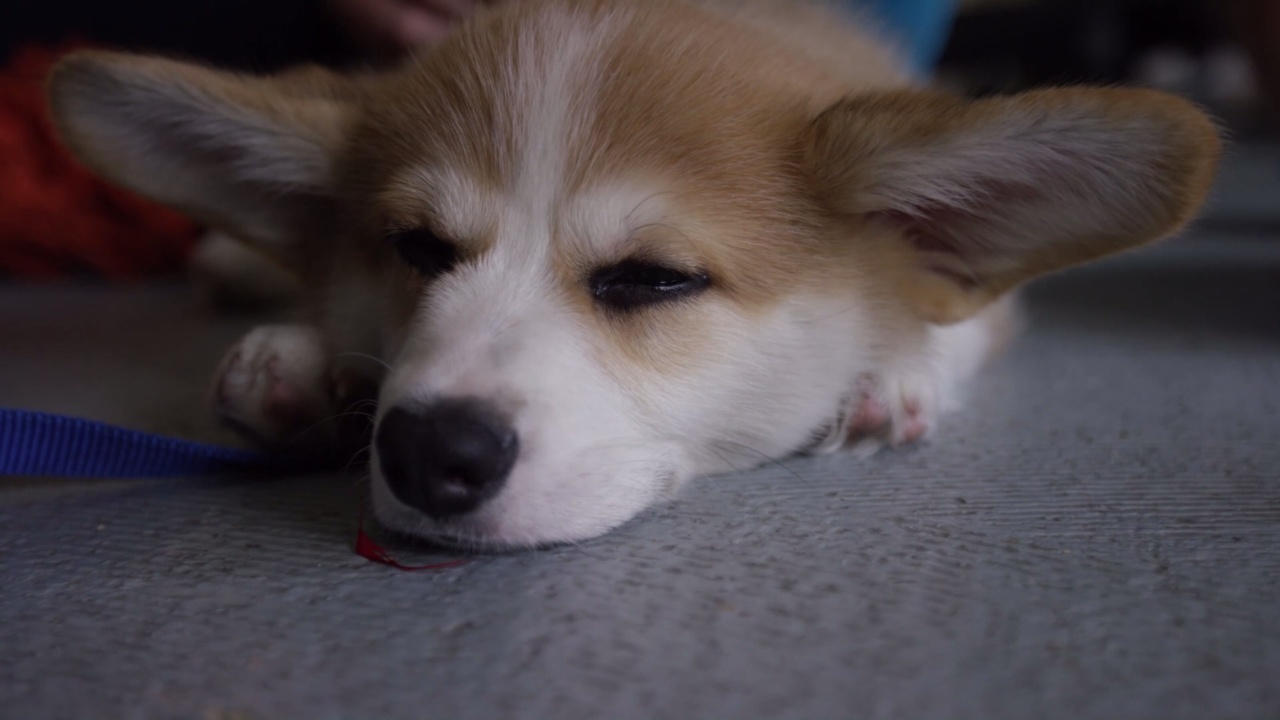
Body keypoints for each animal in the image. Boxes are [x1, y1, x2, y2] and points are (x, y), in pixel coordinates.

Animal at [46, 0, 1221, 549]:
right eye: (418, 249)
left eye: (652, 279)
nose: (429, 454)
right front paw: (304, 367)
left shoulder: (981, 292)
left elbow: (953, 322)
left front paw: (895, 376)